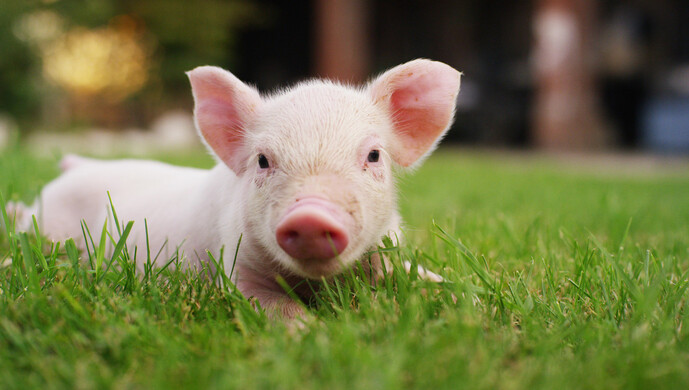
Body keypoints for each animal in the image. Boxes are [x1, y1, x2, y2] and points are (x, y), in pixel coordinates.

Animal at [12, 60, 456, 316]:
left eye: (374, 155)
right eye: (262, 160)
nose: (311, 215)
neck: (315, 283)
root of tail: (77, 165)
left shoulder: (386, 250)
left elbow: (421, 277)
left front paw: (457, 296)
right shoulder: (235, 266)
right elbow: (275, 308)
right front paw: (312, 332)